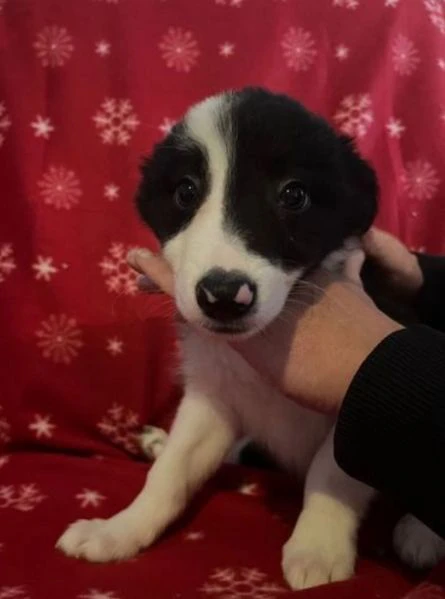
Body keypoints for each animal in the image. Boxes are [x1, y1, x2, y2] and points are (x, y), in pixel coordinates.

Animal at [56, 88, 444, 592]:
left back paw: (421, 531)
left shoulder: (358, 392)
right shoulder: (213, 395)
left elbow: (330, 471)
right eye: (186, 192)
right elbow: (171, 472)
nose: (222, 296)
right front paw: (119, 530)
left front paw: (318, 548)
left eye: (294, 194)